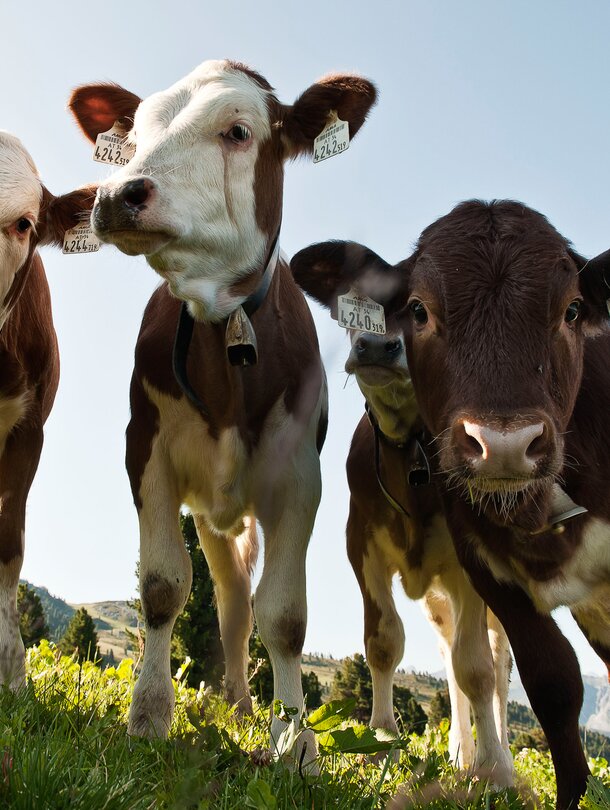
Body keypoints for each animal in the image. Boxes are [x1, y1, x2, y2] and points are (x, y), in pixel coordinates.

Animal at [70, 60, 376, 760]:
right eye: (134, 134)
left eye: (237, 130)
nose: (117, 194)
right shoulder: (145, 448)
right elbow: (163, 586)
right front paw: (149, 715)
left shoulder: (299, 478)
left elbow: (285, 616)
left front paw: (295, 744)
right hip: (212, 511)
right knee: (232, 601)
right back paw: (232, 701)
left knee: (242, 604)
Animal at [288, 199, 608, 804]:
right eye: (412, 309)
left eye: (573, 310)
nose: (376, 347)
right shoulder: (361, 544)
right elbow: (385, 642)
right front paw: (383, 745)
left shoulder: (470, 569)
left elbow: (478, 668)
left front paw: (498, 771)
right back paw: (462, 753)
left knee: (493, 667)